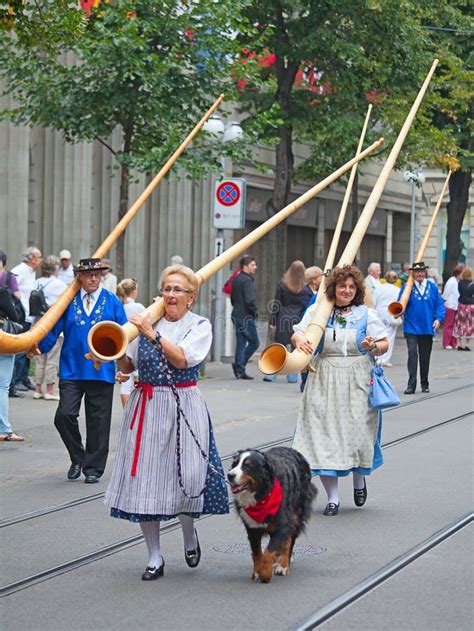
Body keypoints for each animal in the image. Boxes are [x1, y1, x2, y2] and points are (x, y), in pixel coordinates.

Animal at [227, 446, 316, 584]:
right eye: (235, 464)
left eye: (248, 465)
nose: (230, 475)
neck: (261, 495)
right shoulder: (252, 528)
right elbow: (257, 553)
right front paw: (258, 571)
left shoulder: (282, 524)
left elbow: (269, 553)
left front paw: (265, 573)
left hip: (296, 514)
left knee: (289, 541)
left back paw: (283, 565)